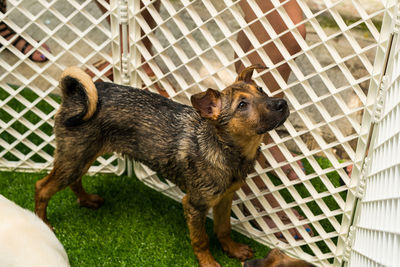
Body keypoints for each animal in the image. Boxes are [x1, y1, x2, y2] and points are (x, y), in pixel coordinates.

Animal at [36, 63, 290, 266]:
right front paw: (208, 262)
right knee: (42, 188)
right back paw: (43, 224)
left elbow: (224, 228)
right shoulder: (194, 204)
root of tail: (75, 96)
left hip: (80, 157)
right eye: (242, 105)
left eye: (261, 90)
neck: (224, 148)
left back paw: (86, 200)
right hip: (74, 158)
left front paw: (233, 249)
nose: (282, 103)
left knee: (74, 181)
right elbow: (201, 239)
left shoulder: (225, 198)